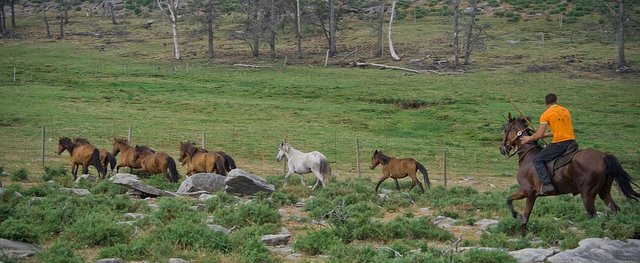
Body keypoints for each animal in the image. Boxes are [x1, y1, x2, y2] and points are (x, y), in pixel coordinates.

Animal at [500, 115, 640, 237]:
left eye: (506, 130)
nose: (502, 149)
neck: (528, 156)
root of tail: (603, 156)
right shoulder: (532, 195)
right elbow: (527, 214)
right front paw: (523, 236)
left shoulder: (525, 190)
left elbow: (508, 200)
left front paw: (517, 216)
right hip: (604, 191)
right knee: (614, 208)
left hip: (587, 194)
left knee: (593, 215)